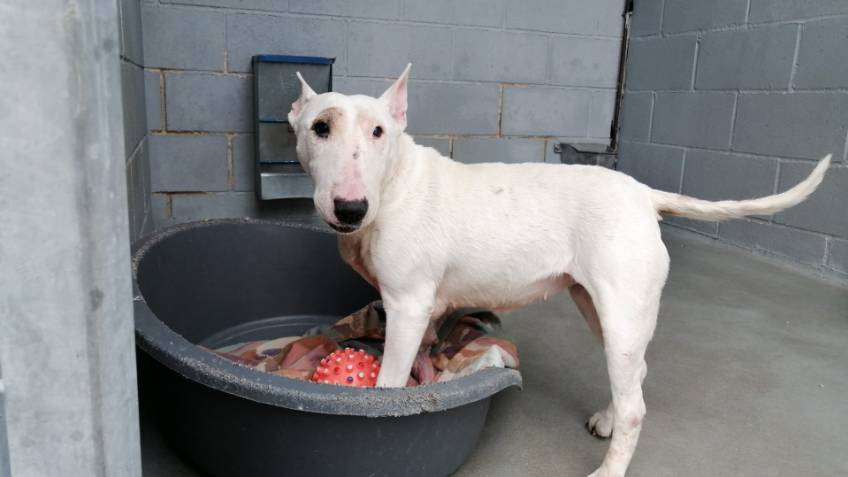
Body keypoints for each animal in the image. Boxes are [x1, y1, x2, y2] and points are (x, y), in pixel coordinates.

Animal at [287, 64, 831, 477]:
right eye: (320, 127)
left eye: (379, 131)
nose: (350, 208)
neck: (393, 183)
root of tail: (643, 195)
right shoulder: (422, 311)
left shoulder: (408, 304)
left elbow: (390, 385)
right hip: (598, 305)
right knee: (635, 374)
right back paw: (607, 418)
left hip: (620, 309)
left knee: (636, 406)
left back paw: (609, 468)